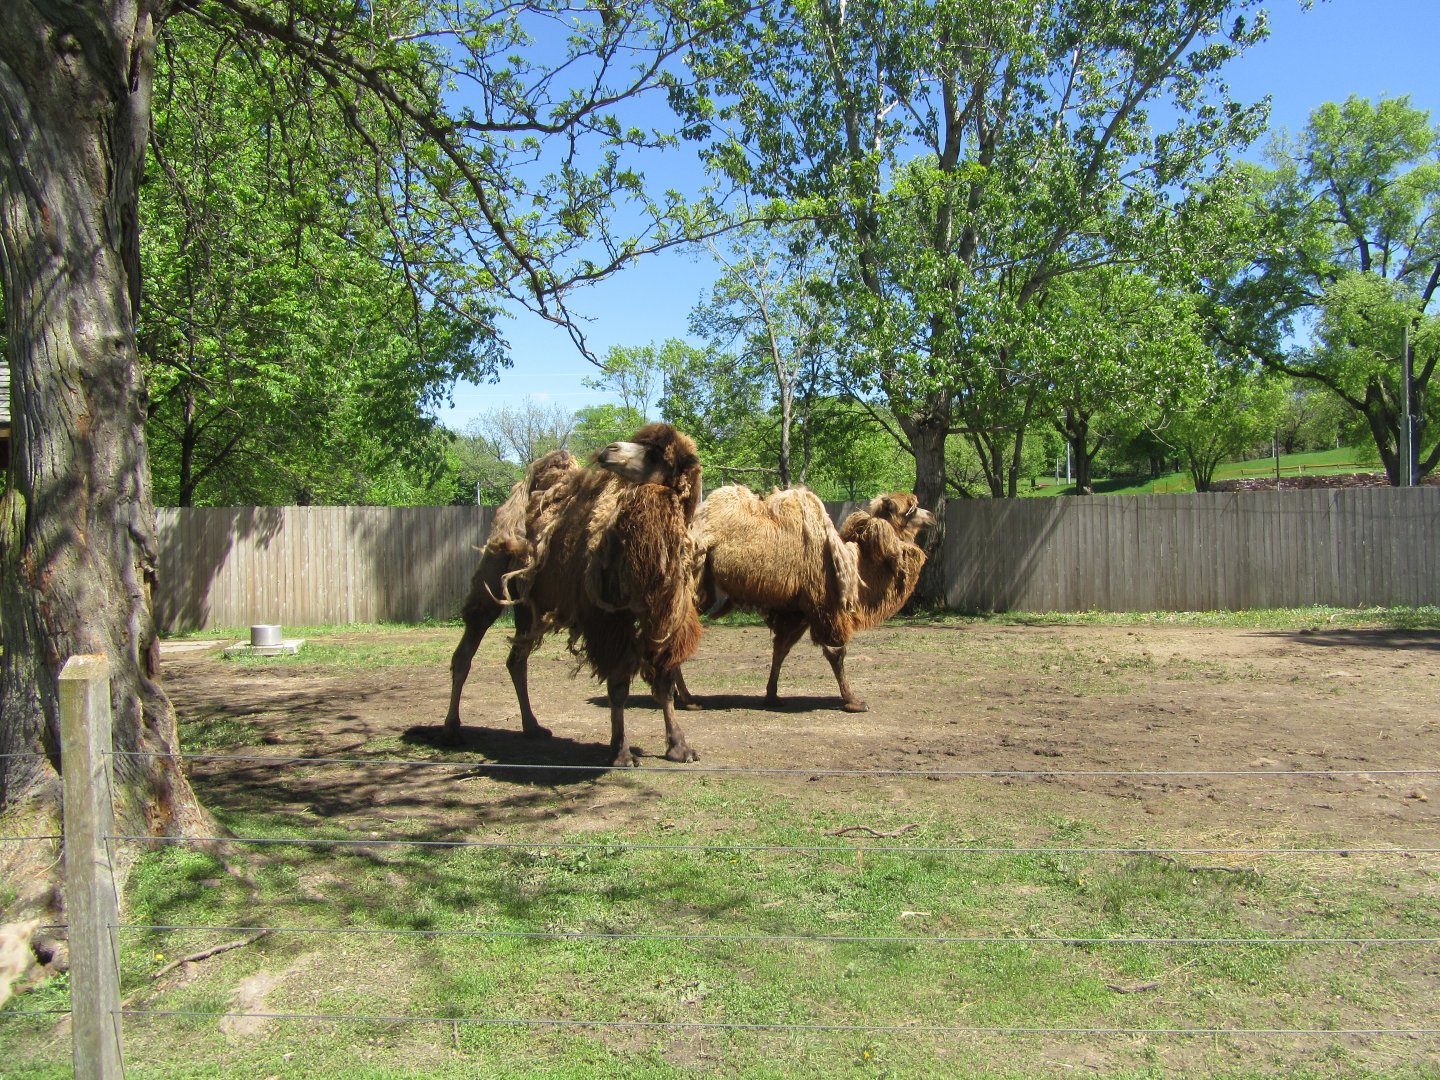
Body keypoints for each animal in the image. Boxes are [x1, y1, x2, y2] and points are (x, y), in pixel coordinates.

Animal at [689, 487, 934, 711]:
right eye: (910, 509)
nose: (931, 516)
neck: (854, 566)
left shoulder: (797, 612)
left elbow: (781, 648)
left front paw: (772, 696)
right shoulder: (823, 607)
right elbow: (836, 652)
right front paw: (853, 701)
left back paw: (687, 698)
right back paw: (688, 700)